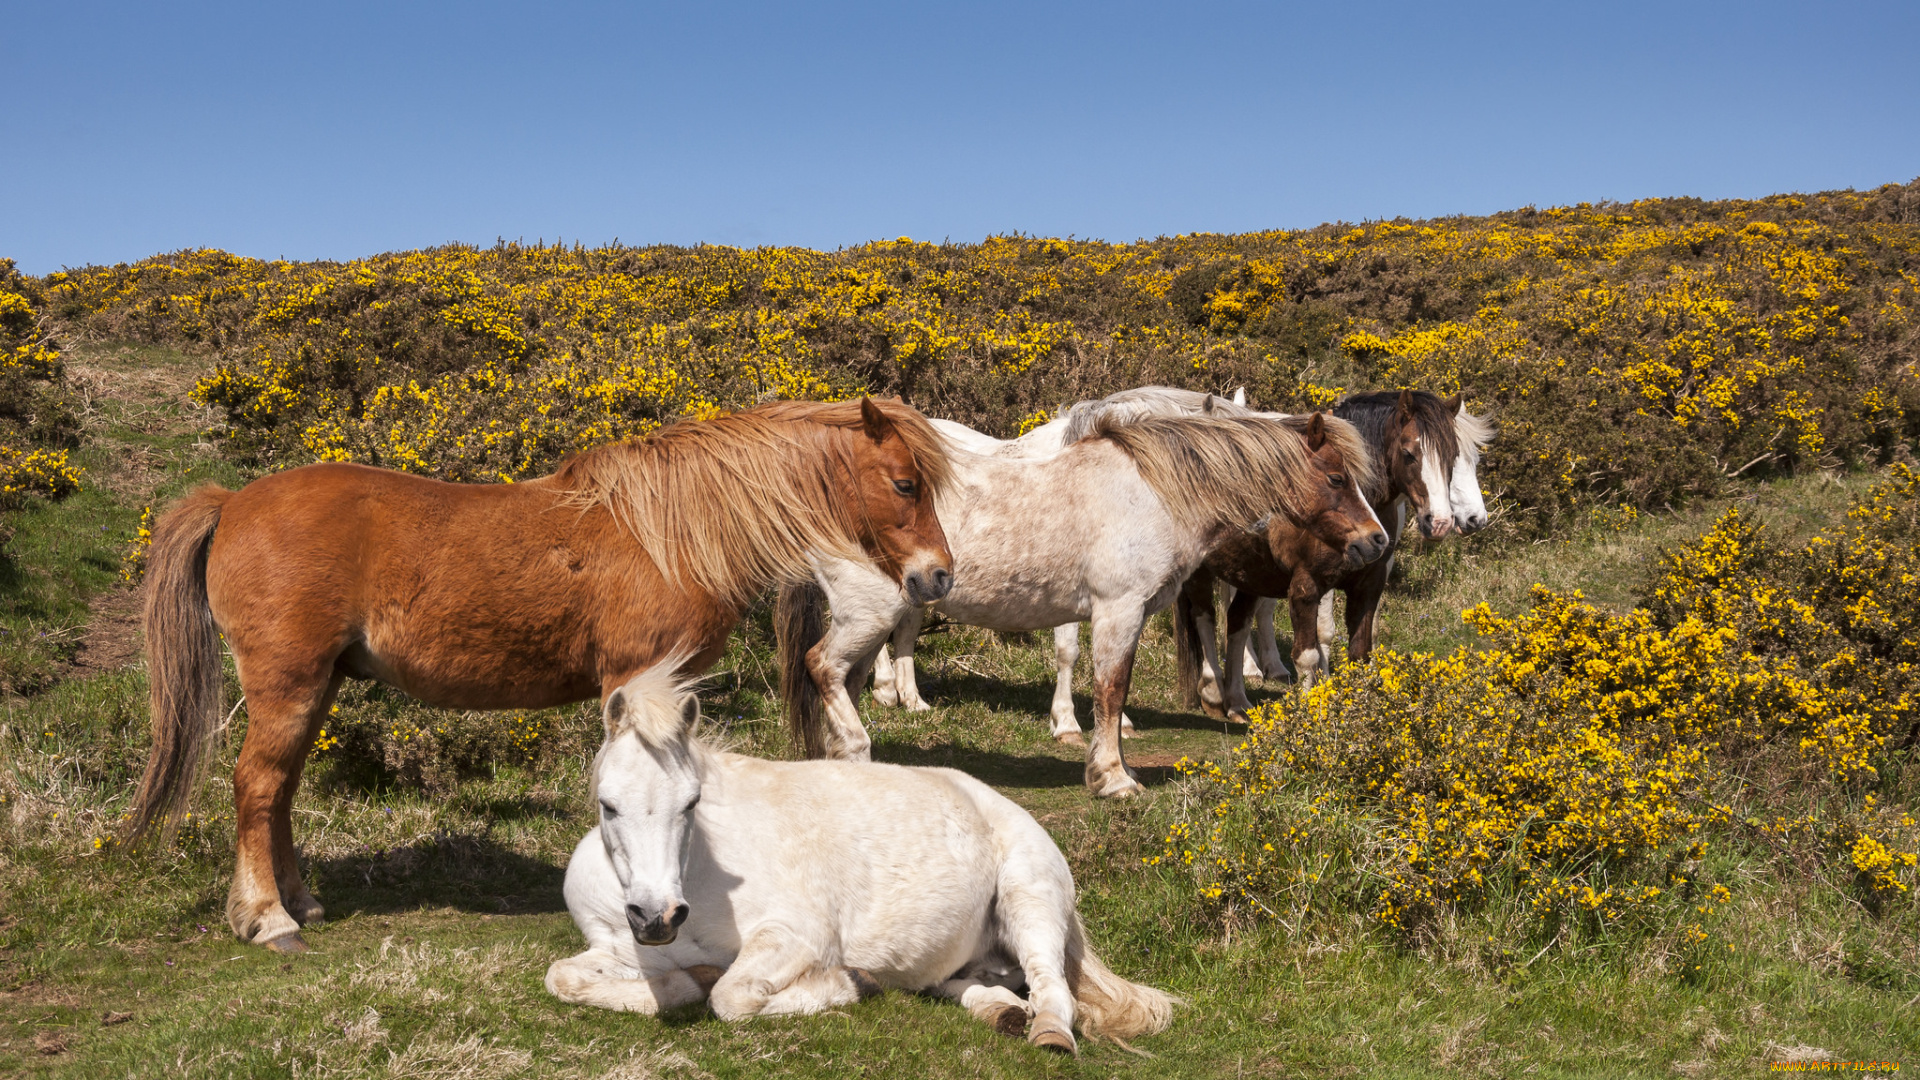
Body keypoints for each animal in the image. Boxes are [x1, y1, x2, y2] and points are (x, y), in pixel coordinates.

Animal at [127, 397, 952, 949]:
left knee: (281, 790)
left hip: (317, 685)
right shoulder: (640, 685)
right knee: (258, 786)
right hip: (289, 684)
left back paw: (300, 903)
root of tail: (233, 502)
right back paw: (266, 917)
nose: (938, 575)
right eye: (905, 483)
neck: (670, 532)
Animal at [549, 664, 1175, 1053]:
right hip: (964, 958)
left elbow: (731, 996)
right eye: (608, 804)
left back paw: (1044, 1031)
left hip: (1030, 899)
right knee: (971, 985)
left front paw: (849, 984)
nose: (657, 917)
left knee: (1053, 990)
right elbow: (566, 978)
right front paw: (687, 981)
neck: (699, 874)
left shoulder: (797, 937)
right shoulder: (618, 949)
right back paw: (999, 1012)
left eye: (691, 801)